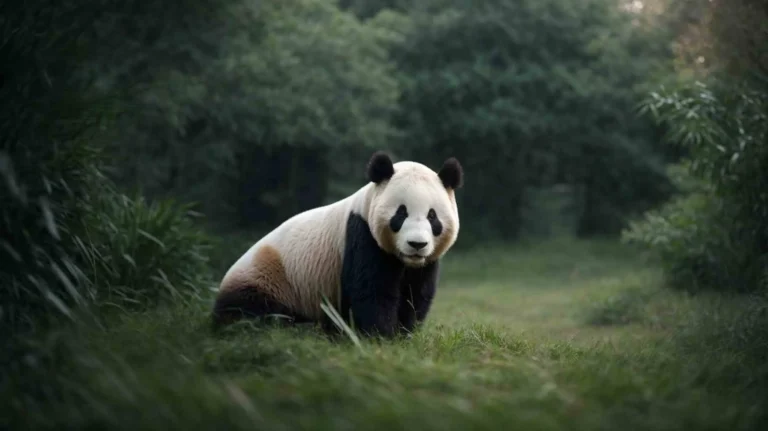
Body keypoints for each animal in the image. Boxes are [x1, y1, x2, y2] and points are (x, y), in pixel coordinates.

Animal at [212, 151, 463, 337]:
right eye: (400, 214)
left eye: (432, 217)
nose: (417, 244)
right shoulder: (361, 234)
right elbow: (372, 291)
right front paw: (382, 336)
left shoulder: (423, 263)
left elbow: (415, 293)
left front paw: (404, 333)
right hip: (270, 279)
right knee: (252, 314)